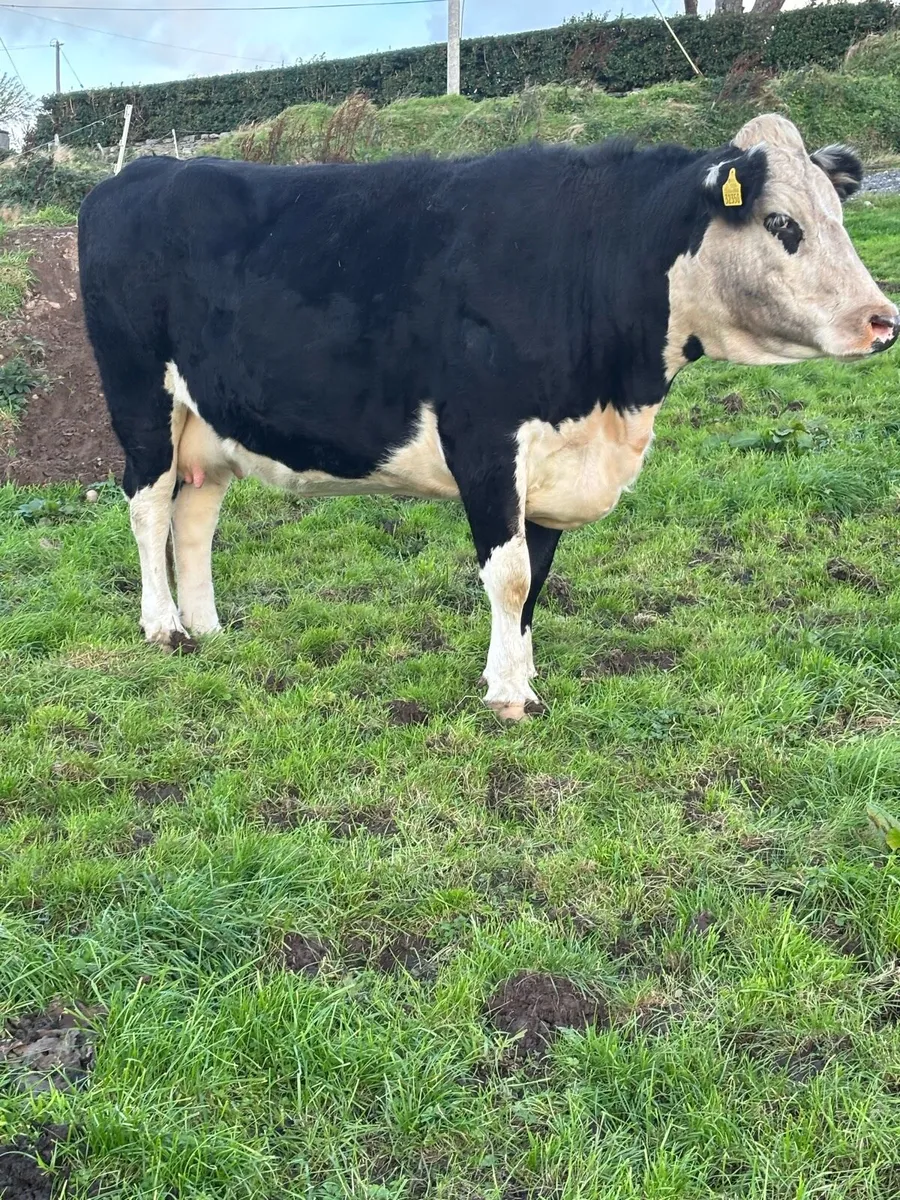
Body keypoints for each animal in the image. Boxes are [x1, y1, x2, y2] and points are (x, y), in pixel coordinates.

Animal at [78, 113, 898, 720]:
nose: (882, 320)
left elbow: (536, 578)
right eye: (782, 223)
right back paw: (163, 626)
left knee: (195, 517)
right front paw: (508, 695)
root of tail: (142, 172)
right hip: (139, 396)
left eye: (839, 216)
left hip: (212, 418)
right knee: (148, 504)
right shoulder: (483, 435)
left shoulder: (555, 462)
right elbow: (507, 574)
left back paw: (207, 627)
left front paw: (520, 674)